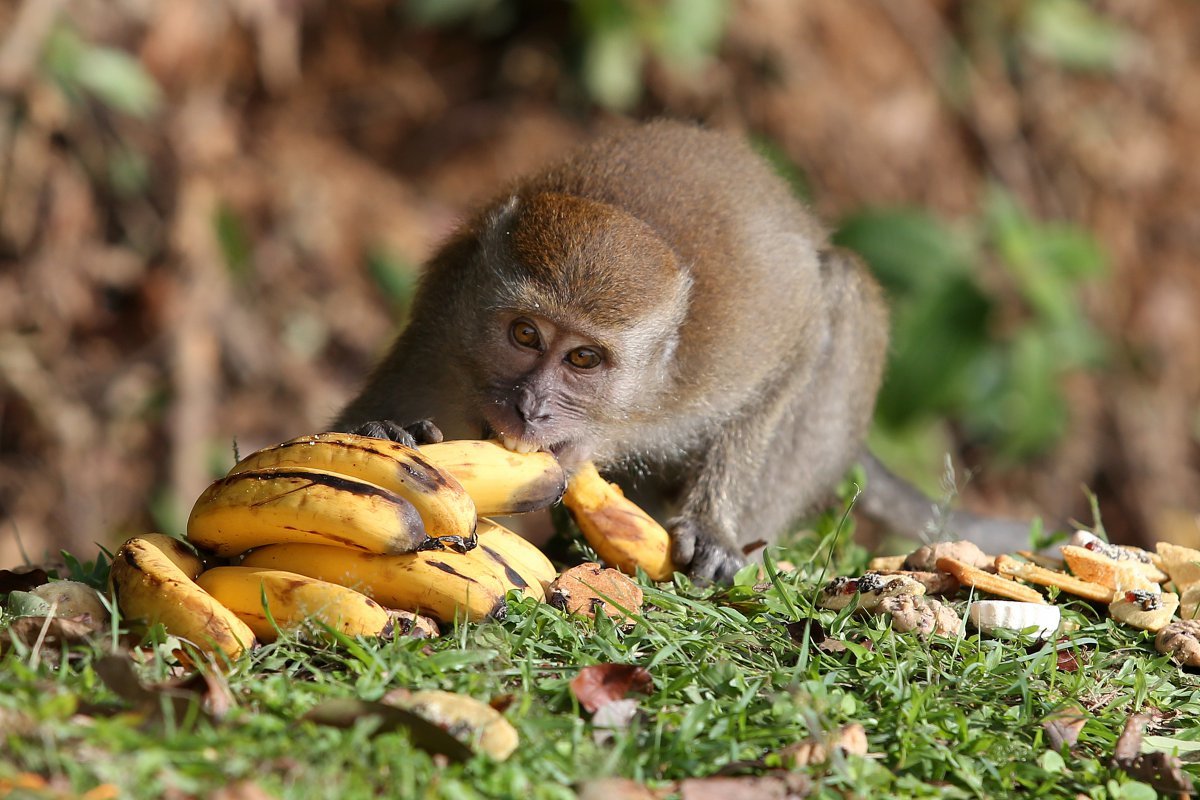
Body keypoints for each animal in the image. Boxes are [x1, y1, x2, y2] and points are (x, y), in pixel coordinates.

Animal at [333, 118, 1036, 582]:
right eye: (525, 335)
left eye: (583, 360)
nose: (530, 408)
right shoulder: (446, 317)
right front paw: (389, 431)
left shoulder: (735, 344)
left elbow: (806, 333)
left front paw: (716, 530)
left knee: (843, 291)